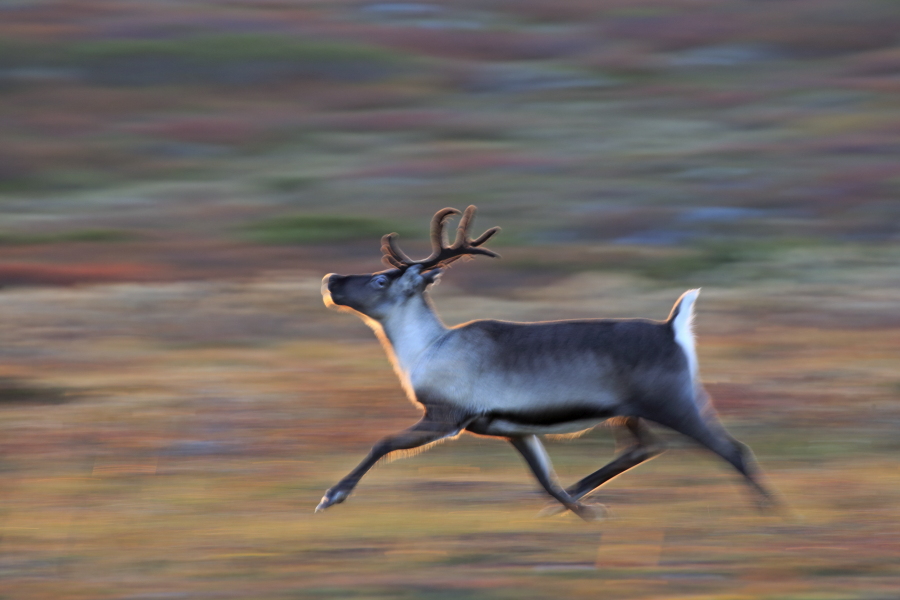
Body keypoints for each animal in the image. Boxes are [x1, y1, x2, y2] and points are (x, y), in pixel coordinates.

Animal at [317, 206, 774, 520]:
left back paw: (770, 512)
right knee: (644, 447)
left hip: (672, 402)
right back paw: (578, 497)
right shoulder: (512, 429)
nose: (330, 279)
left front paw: (332, 496)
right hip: (636, 410)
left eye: (380, 279)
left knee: (732, 449)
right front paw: (583, 512)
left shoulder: (446, 416)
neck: (426, 347)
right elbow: (545, 480)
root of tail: (671, 328)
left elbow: (382, 442)